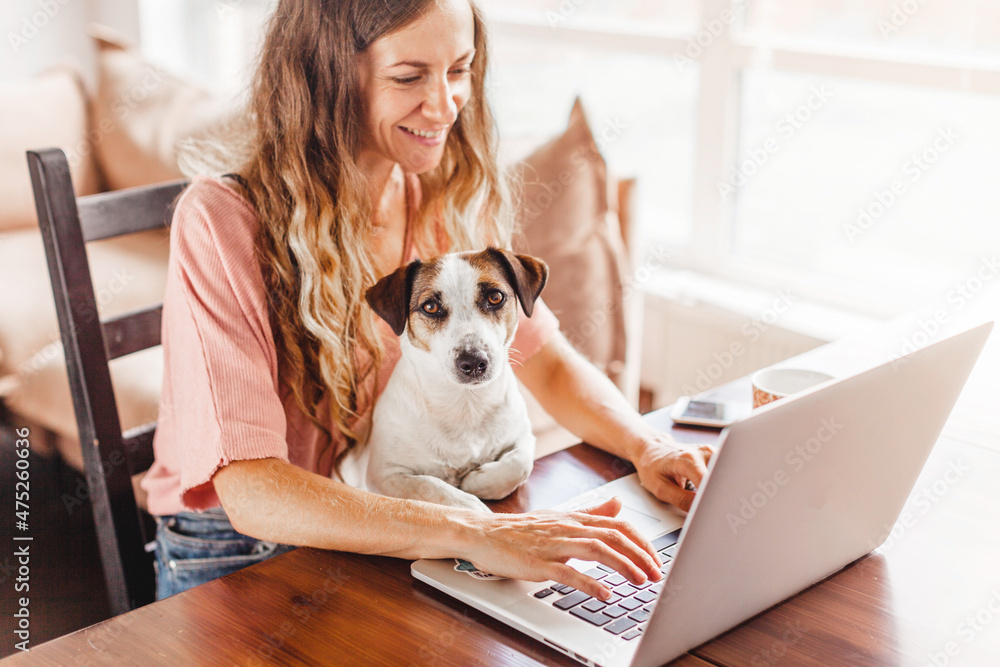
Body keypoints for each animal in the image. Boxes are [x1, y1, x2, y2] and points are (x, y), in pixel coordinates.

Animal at [342, 248, 548, 516]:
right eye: (430, 307)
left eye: (495, 297)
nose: (473, 361)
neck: (465, 404)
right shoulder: (383, 476)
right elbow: (431, 486)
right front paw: (471, 506)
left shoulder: (523, 436)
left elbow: (520, 463)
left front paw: (476, 482)